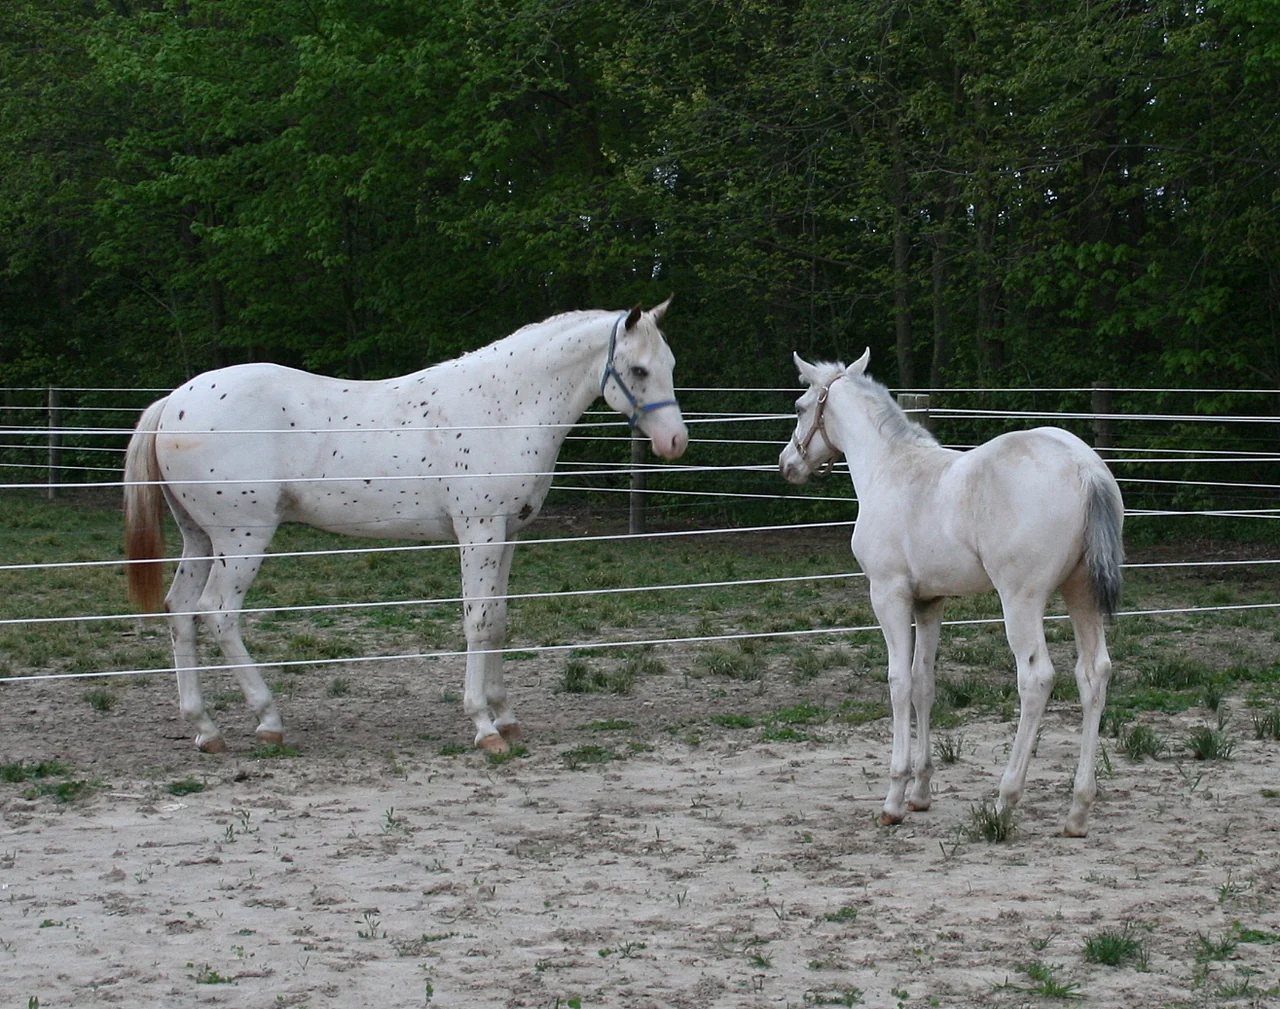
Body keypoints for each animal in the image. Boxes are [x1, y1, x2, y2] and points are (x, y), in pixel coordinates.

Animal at [124, 302, 688, 755]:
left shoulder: (507, 534)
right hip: (241, 539)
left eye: (670, 366)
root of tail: (174, 402)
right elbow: (477, 622)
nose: (675, 442)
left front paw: (507, 718)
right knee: (217, 614)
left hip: (200, 539)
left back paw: (206, 729)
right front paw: (484, 728)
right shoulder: (478, 530)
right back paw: (268, 721)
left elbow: (499, 621)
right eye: (638, 369)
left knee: (180, 612)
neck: (502, 405)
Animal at [779, 350, 1124, 837]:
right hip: (1081, 594)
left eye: (800, 406)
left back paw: (1004, 802)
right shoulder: (929, 602)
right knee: (1094, 673)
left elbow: (899, 682)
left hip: (1021, 600)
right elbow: (924, 682)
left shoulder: (888, 595)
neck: (890, 468)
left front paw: (894, 800)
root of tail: (1084, 466)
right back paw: (1077, 810)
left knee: (1036, 679)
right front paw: (921, 793)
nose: (787, 464)